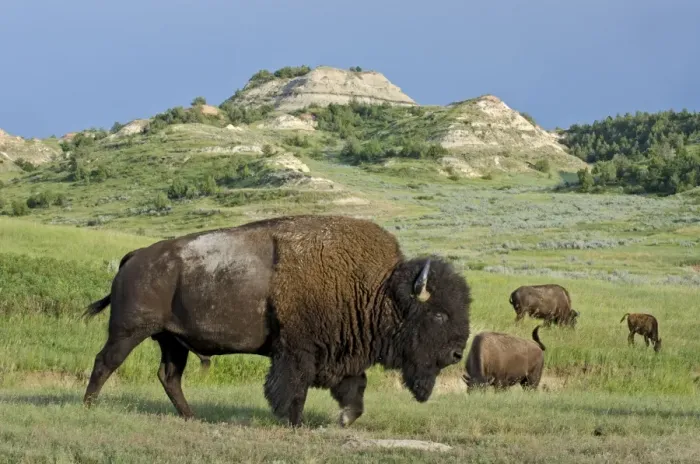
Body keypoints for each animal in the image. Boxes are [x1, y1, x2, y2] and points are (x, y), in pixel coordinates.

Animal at [82, 214, 472, 427]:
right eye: (439, 313)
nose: (457, 353)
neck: (379, 289)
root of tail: (136, 256)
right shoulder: (297, 352)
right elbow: (293, 389)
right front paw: (296, 423)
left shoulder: (341, 357)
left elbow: (354, 389)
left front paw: (344, 419)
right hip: (128, 331)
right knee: (105, 362)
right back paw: (89, 406)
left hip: (172, 341)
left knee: (169, 376)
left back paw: (190, 417)